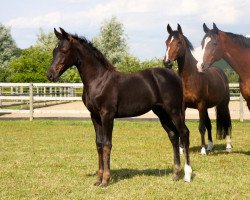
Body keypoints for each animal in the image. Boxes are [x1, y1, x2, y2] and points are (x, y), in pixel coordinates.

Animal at [46, 27, 191, 186]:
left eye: (64, 50)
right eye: (54, 51)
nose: (50, 75)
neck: (99, 80)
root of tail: (175, 76)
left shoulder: (107, 115)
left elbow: (107, 144)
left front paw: (105, 180)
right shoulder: (95, 116)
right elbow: (99, 144)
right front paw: (98, 179)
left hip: (174, 111)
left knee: (184, 133)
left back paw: (187, 175)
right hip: (161, 112)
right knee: (173, 135)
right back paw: (175, 174)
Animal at [164, 23, 232, 155]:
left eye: (179, 42)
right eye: (166, 42)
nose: (167, 62)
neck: (191, 76)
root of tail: (221, 73)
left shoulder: (200, 105)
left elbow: (201, 128)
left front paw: (203, 150)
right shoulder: (183, 106)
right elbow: (184, 126)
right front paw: (182, 149)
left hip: (223, 104)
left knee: (226, 122)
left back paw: (228, 146)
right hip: (207, 107)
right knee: (209, 124)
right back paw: (210, 146)